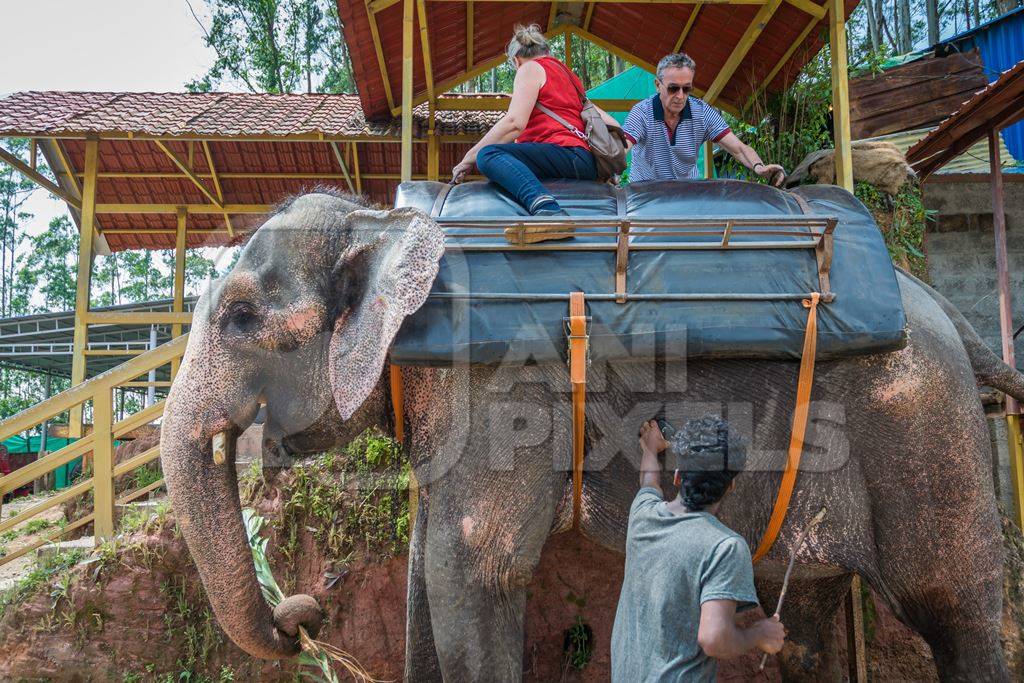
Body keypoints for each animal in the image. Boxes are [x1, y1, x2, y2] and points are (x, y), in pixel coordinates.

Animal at [159, 188, 1015, 683]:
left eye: (241, 316)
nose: (309, 607)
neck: (388, 223)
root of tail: (938, 301)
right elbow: (426, 570)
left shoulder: (499, 390)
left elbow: (470, 567)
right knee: (803, 621)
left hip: (921, 423)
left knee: (956, 608)